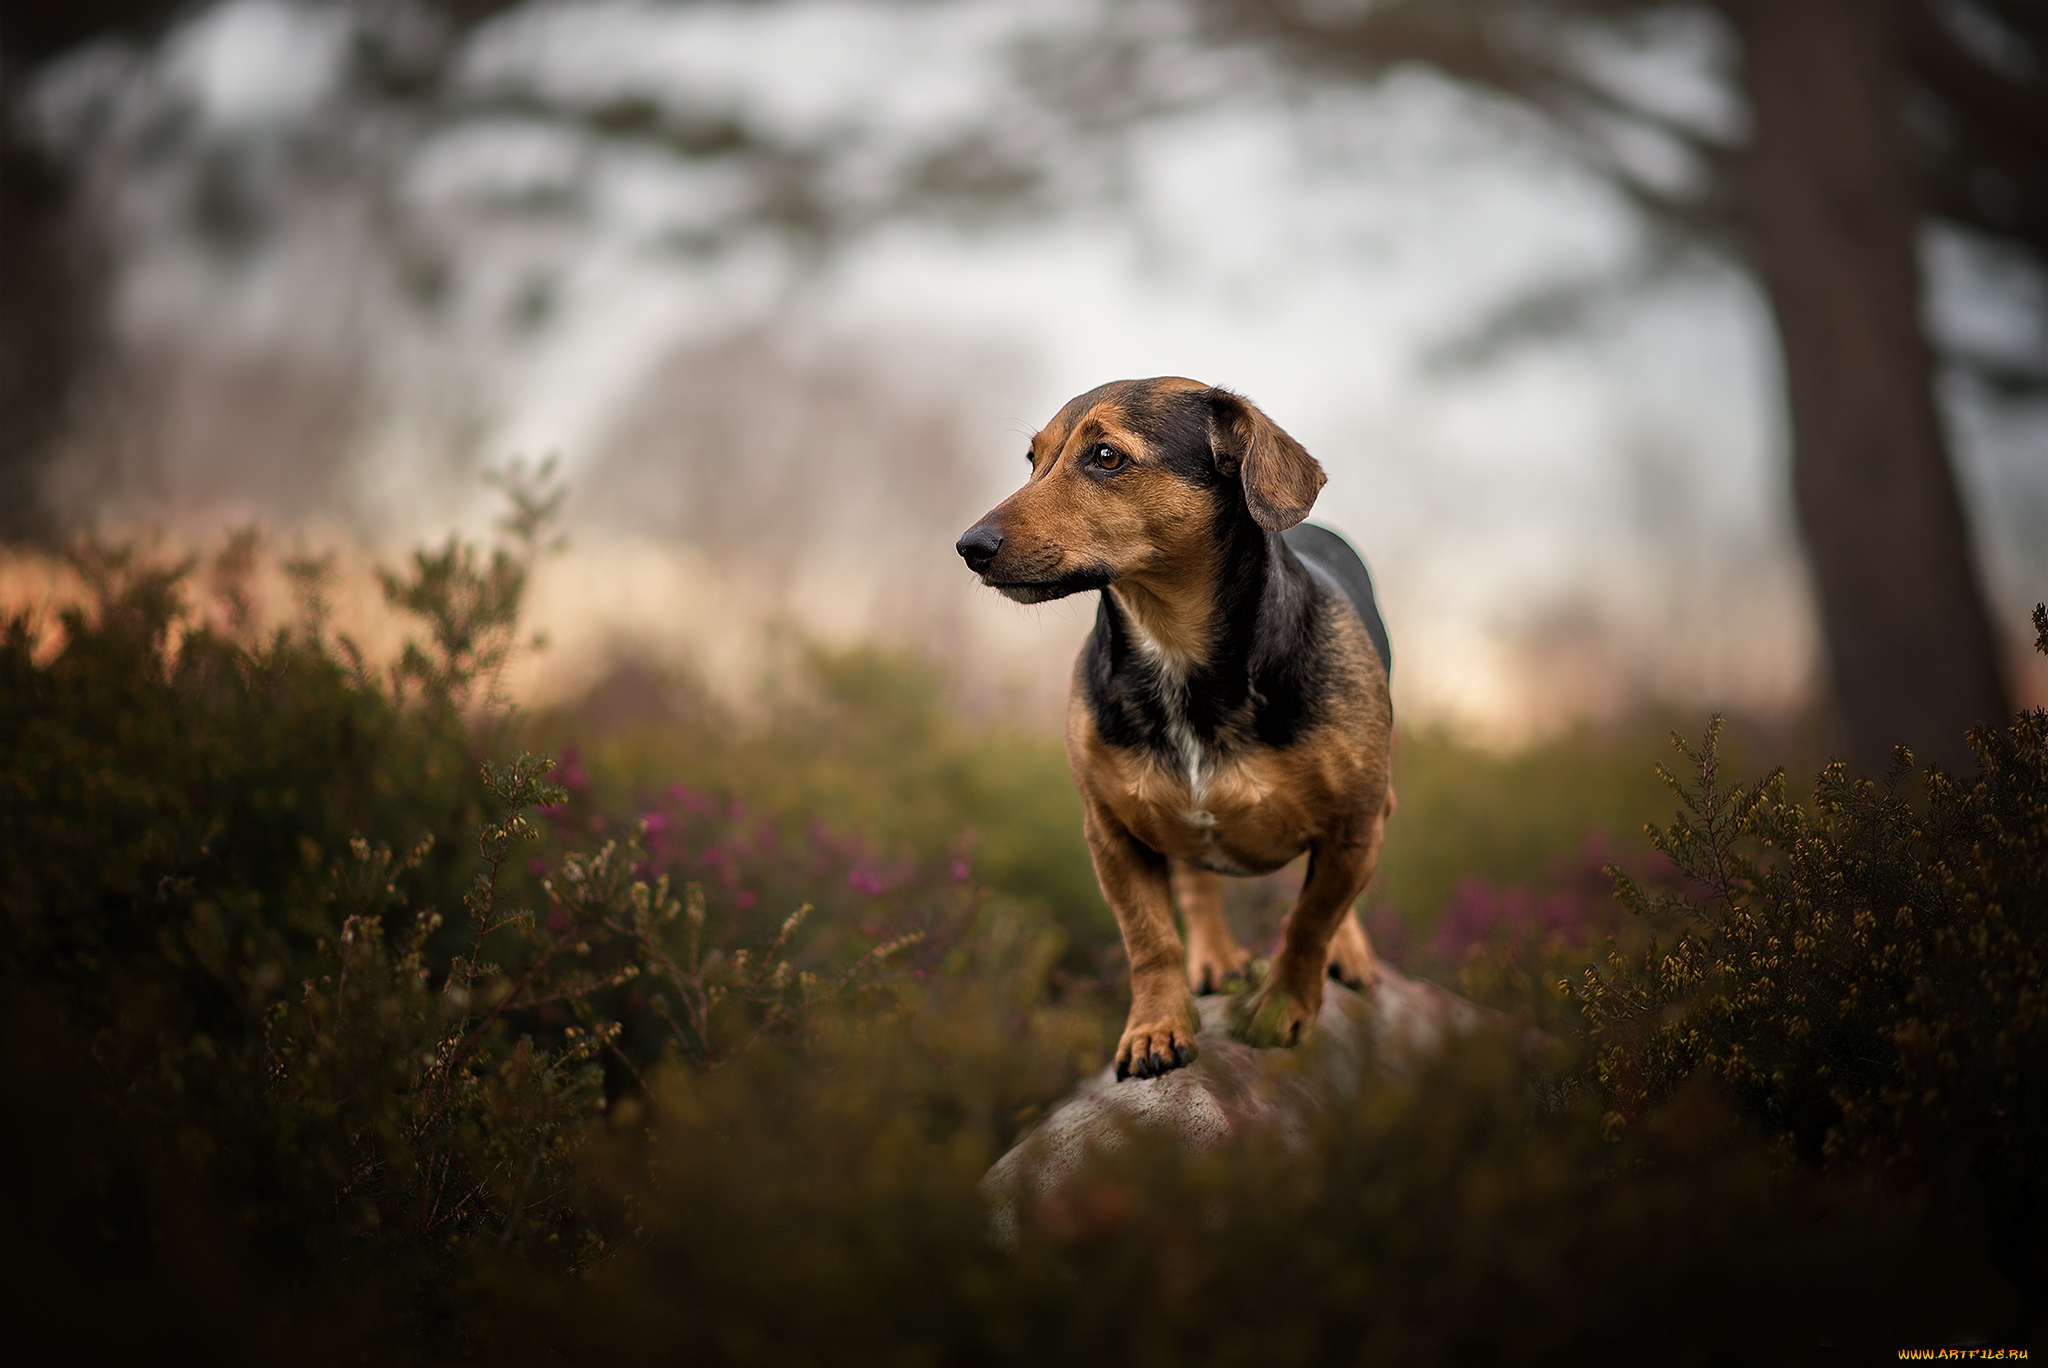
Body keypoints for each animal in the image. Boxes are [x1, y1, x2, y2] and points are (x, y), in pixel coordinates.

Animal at [954, 378, 1400, 1081]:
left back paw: (1347, 954)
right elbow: (1150, 937)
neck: (1174, 653)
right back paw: (1214, 958)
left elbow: (1311, 920)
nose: (971, 547)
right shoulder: (1111, 833)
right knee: (1195, 879)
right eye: (1033, 460)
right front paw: (1156, 1027)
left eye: (1106, 457)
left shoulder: (1354, 824)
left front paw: (1281, 1010)